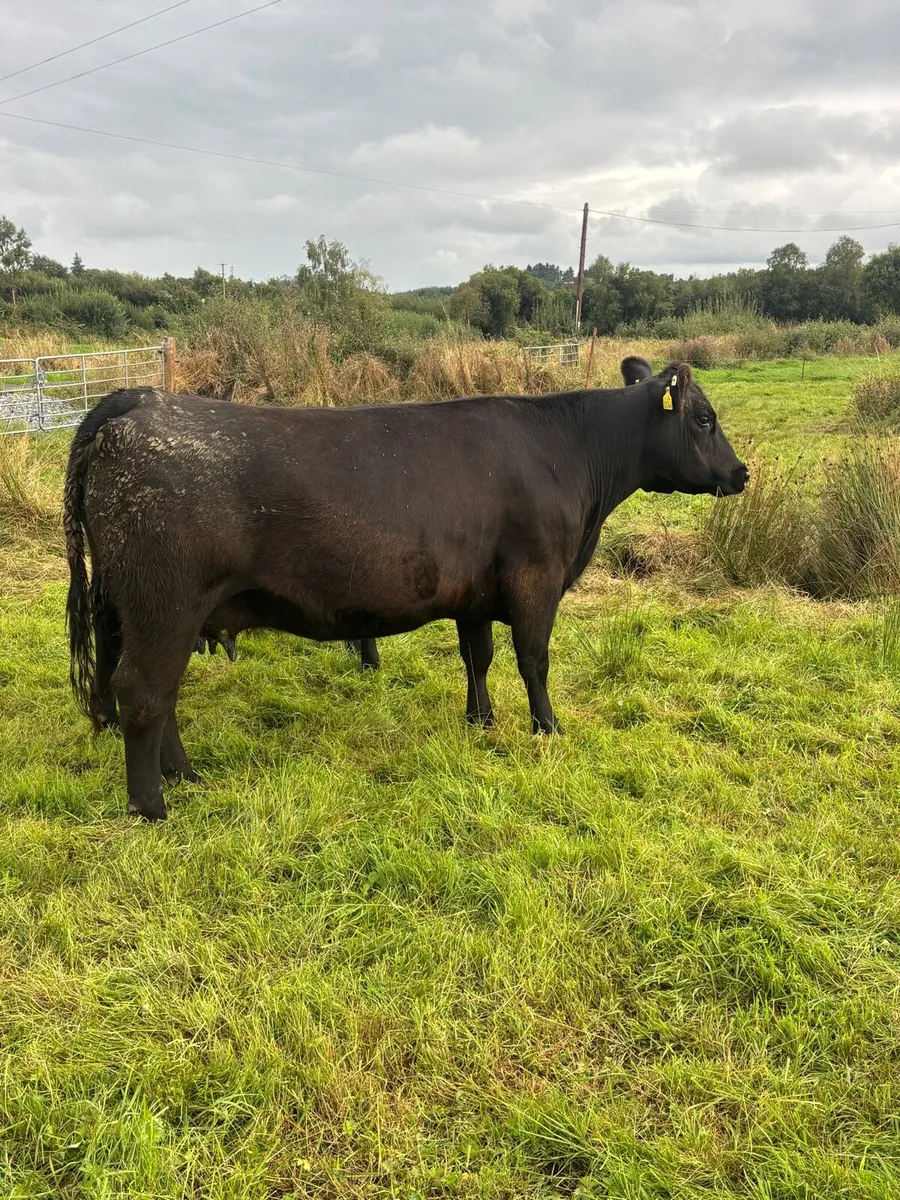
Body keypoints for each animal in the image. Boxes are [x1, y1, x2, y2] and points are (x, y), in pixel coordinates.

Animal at [64, 358, 747, 821]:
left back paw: (185, 776)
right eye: (705, 419)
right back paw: (152, 805)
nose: (741, 473)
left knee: (160, 696)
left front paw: (482, 720)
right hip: (165, 606)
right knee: (143, 693)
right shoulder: (536, 578)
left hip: (142, 611)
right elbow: (534, 659)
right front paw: (547, 729)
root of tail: (139, 404)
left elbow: (478, 656)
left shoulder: (477, 591)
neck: (569, 453)